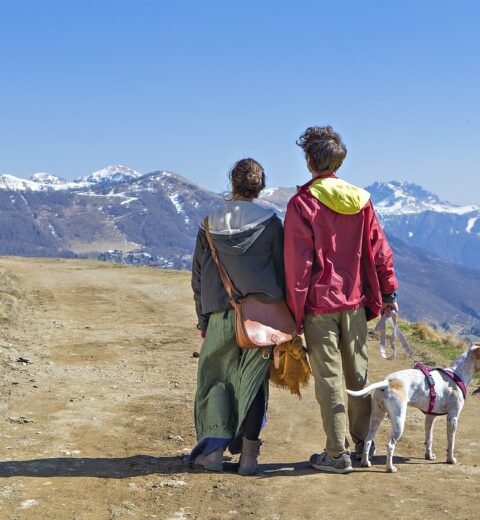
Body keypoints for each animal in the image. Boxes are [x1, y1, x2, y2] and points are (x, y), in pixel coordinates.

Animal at [346, 344, 480, 474]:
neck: (457, 374)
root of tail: (387, 382)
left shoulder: (430, 417)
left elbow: (429, 439)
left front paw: (429, 456)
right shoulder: (453, 418)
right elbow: (451, 442)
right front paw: (450, 459)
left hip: (377, 417)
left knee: (368, 439)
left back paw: (365, 462)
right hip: (399, 421)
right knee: (390, 445)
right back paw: (390, 468)